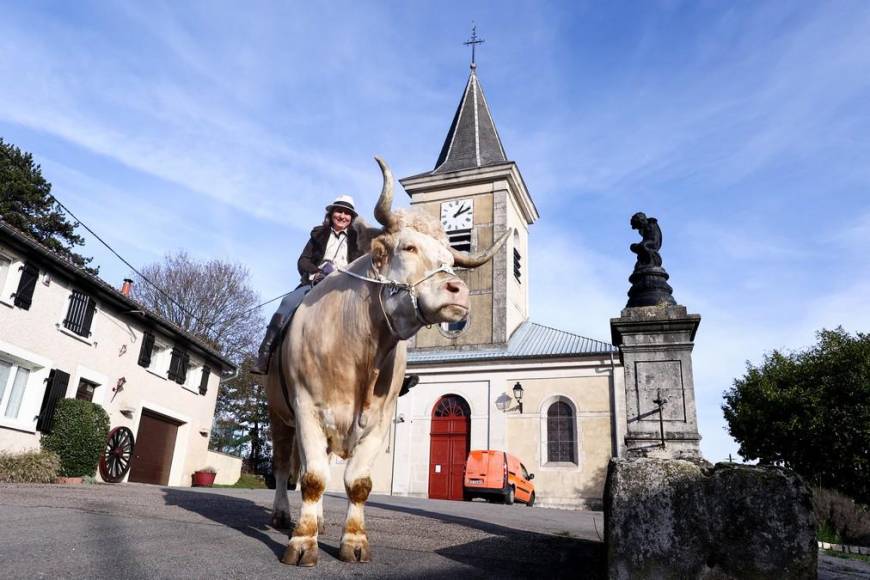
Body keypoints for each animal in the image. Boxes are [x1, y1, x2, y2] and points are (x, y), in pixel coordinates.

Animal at [268, 156, 510, 564]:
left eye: (450, 259)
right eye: (408, 247)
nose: (459, 291)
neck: (360, 349)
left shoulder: (381, 419)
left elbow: (357, 483)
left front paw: (353, 542)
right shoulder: (306, 408)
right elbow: (313, 478)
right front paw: (302, 543)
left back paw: (319, 521)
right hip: (278, 414)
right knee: (286, 465)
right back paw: (284, 516)